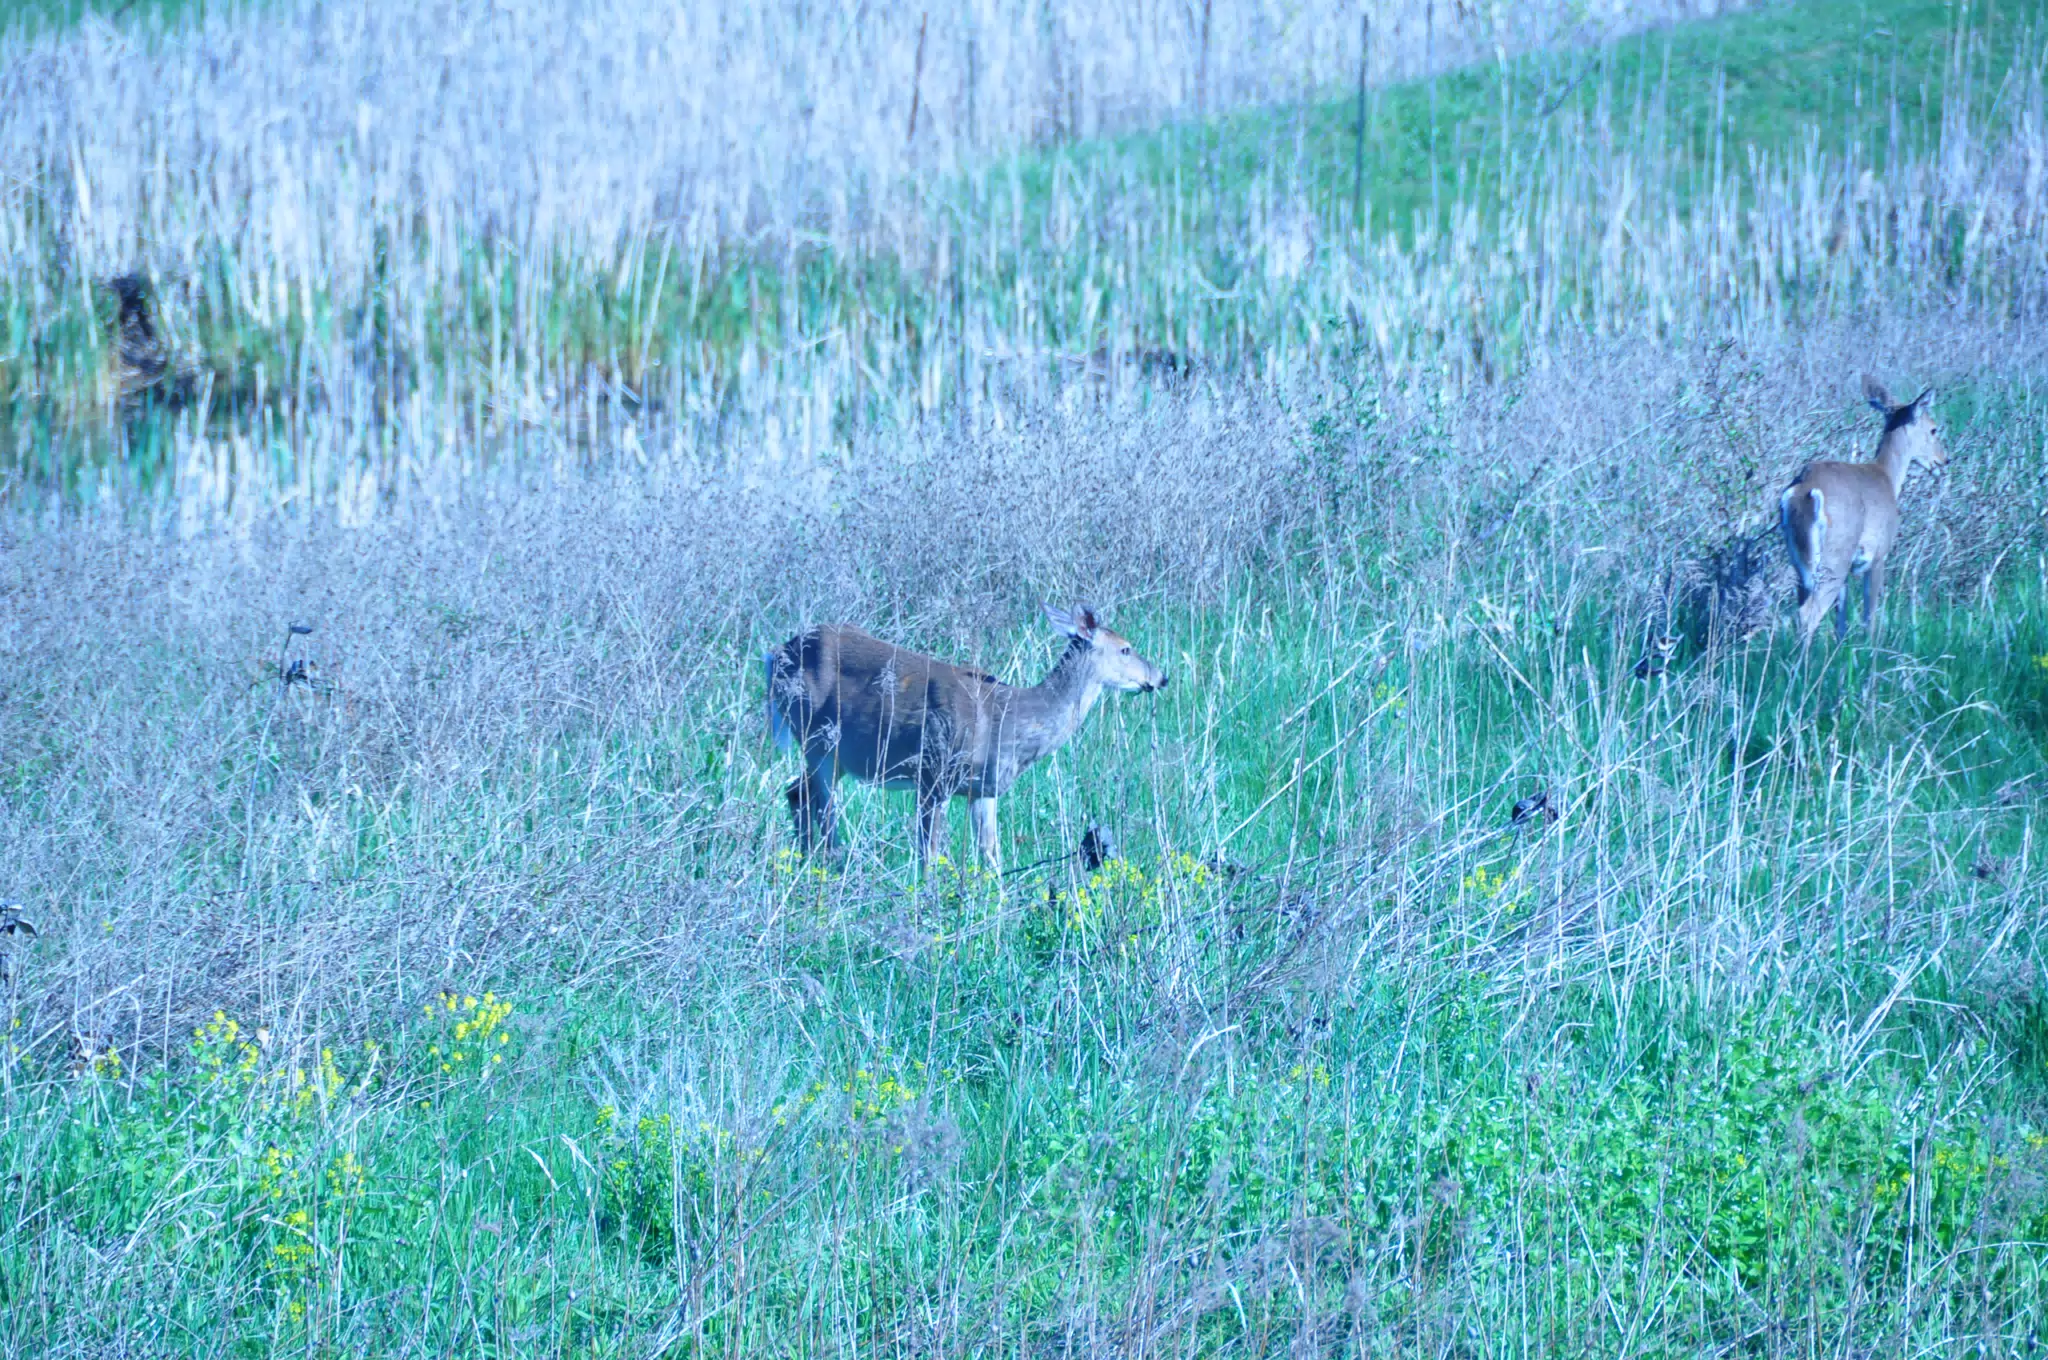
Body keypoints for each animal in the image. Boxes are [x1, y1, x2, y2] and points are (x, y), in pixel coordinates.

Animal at [764, 604, 1168, 873]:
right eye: (1125, 648)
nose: (1160, 677)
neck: (1011, 719)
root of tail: (776, 654)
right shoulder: (932, 774)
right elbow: (928, 851)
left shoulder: (983, 788)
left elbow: (989, 851)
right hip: (819, 740)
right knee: (817, 801)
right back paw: (829, 862)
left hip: (832, 752)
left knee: (796, 791)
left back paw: (809, 861)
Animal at [1779, 374, 1949, 644]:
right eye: (1933, 428)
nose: (1944, 460)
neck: (1887, 477)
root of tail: (1805, 490)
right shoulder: (1878, 553)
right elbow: (1870, 615)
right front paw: (1871, 649)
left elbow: (1841, 618)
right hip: (1835, 554)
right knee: (1807, 614)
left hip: (1800, 559)